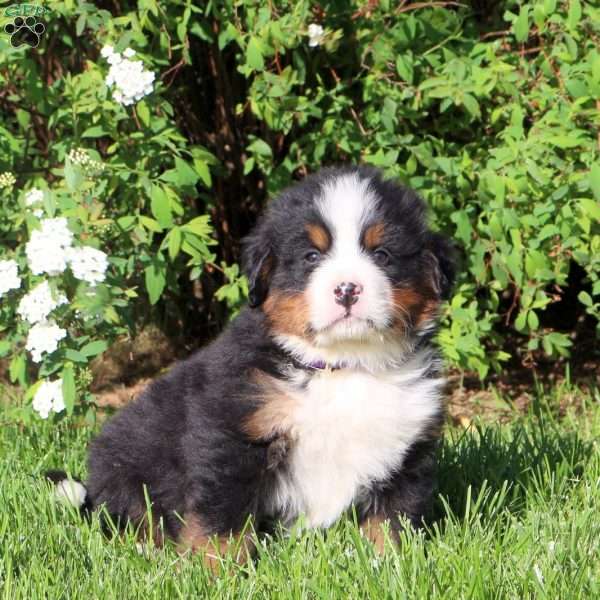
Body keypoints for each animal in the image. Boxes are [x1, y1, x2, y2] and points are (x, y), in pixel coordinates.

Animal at [51, 165, 454, 568]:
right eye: (311, 256)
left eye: (382, 254)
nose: (347, 289)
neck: (344, 365)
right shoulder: (233, 432)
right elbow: (223, 517)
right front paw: (218, 569)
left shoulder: (406, 446)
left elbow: (393, 518)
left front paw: (391, 564)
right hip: (128, 464)